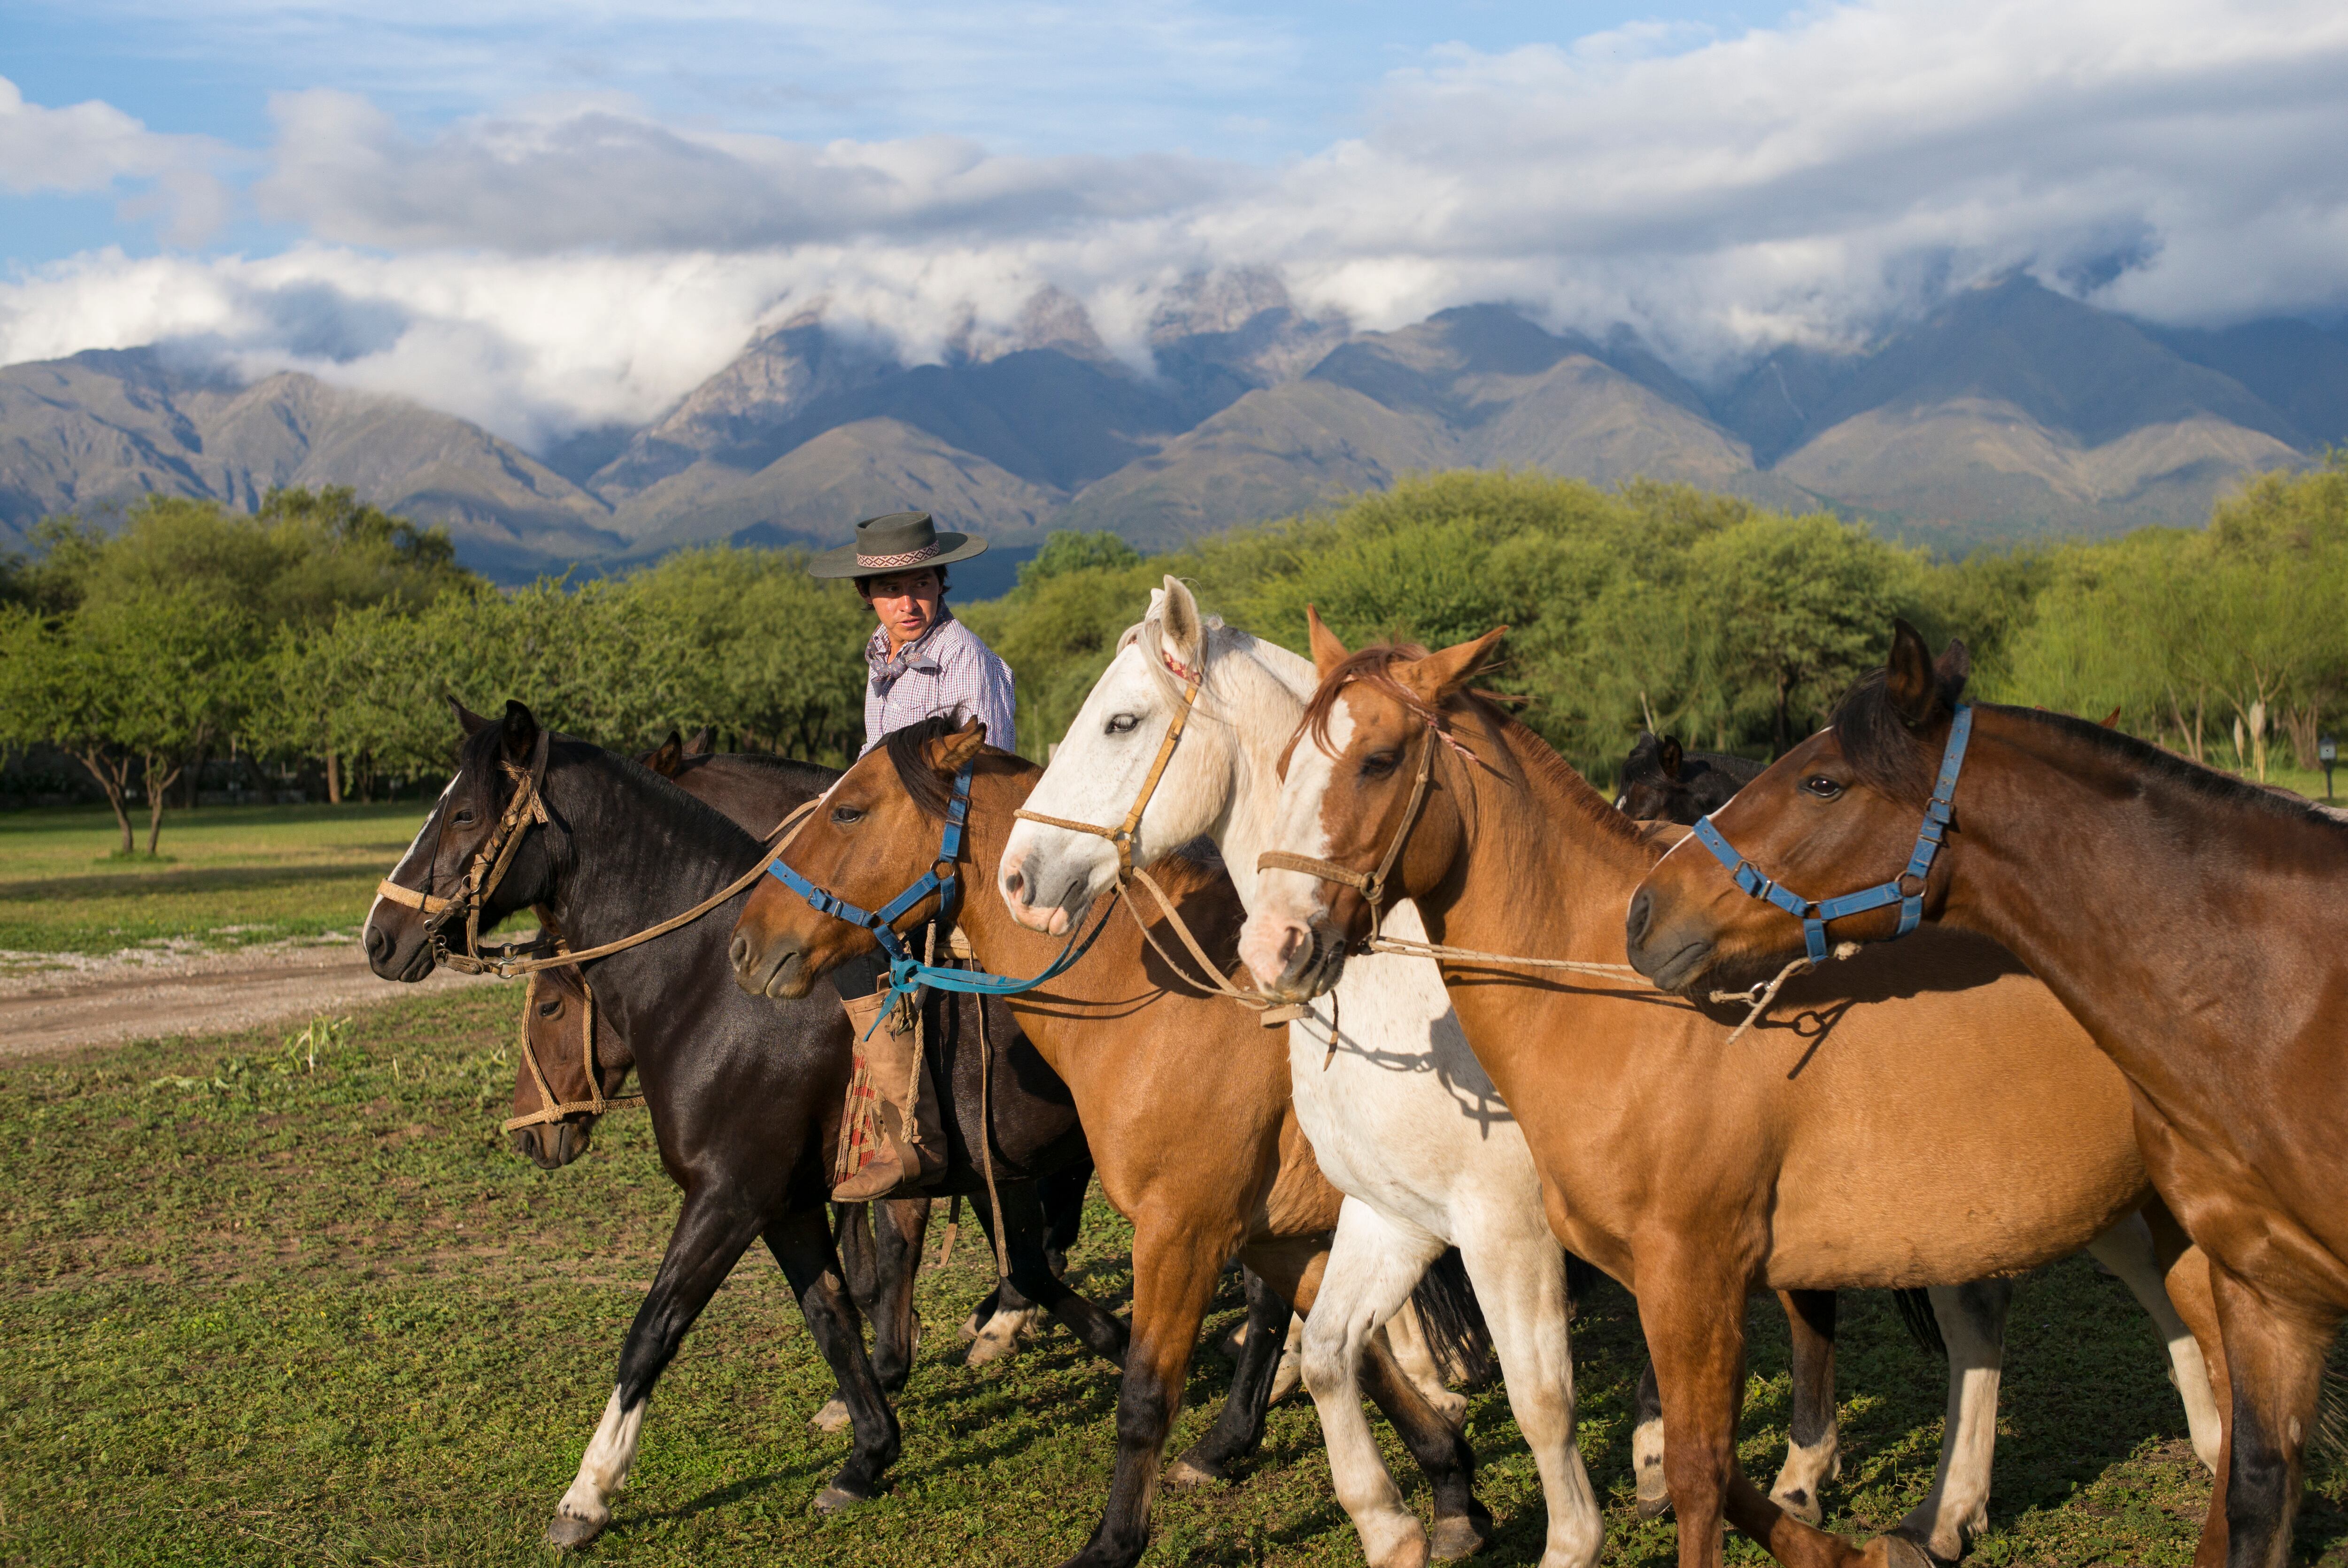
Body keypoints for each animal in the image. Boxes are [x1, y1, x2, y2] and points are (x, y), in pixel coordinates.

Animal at [362, 704, 1132, 1549]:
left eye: (465, 814)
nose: (381, 936)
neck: (714, 987)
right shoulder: (786, 1203)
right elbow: (836, 1315)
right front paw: (869, 1452)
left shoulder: (729, 1197)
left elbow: (655, 1328)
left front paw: (588, 1493)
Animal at [991, 582, 2217, 1568]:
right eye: (1290, 763)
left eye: (1121, 719)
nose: (1017, 877)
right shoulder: (1394, 1216)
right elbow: (1338, 1355)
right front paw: (1402, 1521)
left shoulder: (1503, 1228)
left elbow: (1539, 1401)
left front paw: (1564, 1517)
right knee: (1983, 1313)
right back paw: (1934, 1511)